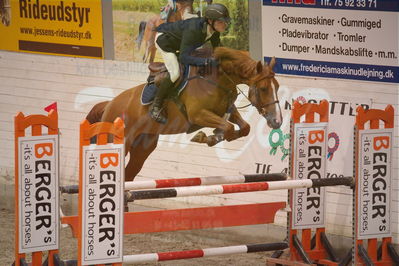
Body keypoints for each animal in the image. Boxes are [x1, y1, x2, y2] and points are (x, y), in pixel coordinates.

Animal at [86, 46, 282, 182]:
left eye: (278, 87)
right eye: (264, 89)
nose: (277, 121)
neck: (217, 78)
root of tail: (109, 104)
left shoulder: (226, 110)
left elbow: (244, 127)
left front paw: (213, 137)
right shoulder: (198, 115)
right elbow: (227, 127)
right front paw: (207, 137)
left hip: (143, 147)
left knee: (129, 174)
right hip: (120, 142)